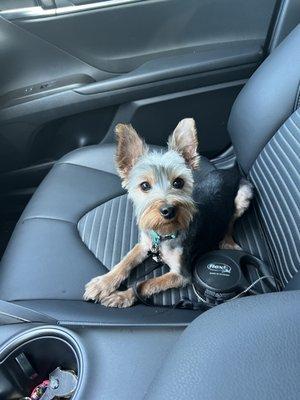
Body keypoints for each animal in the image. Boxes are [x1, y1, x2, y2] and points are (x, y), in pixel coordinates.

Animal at [83, 118, 252, 306]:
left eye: (178, 182)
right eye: (144, 185)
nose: (168, 210)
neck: (164, 235)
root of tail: (230, 171)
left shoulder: (181, 274)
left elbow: (146, 284)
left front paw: (122, 296)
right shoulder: (144, 244)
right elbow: (125, 261)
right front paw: (103, 283)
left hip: (244, 195)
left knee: (231, 220)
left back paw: (227, 240)